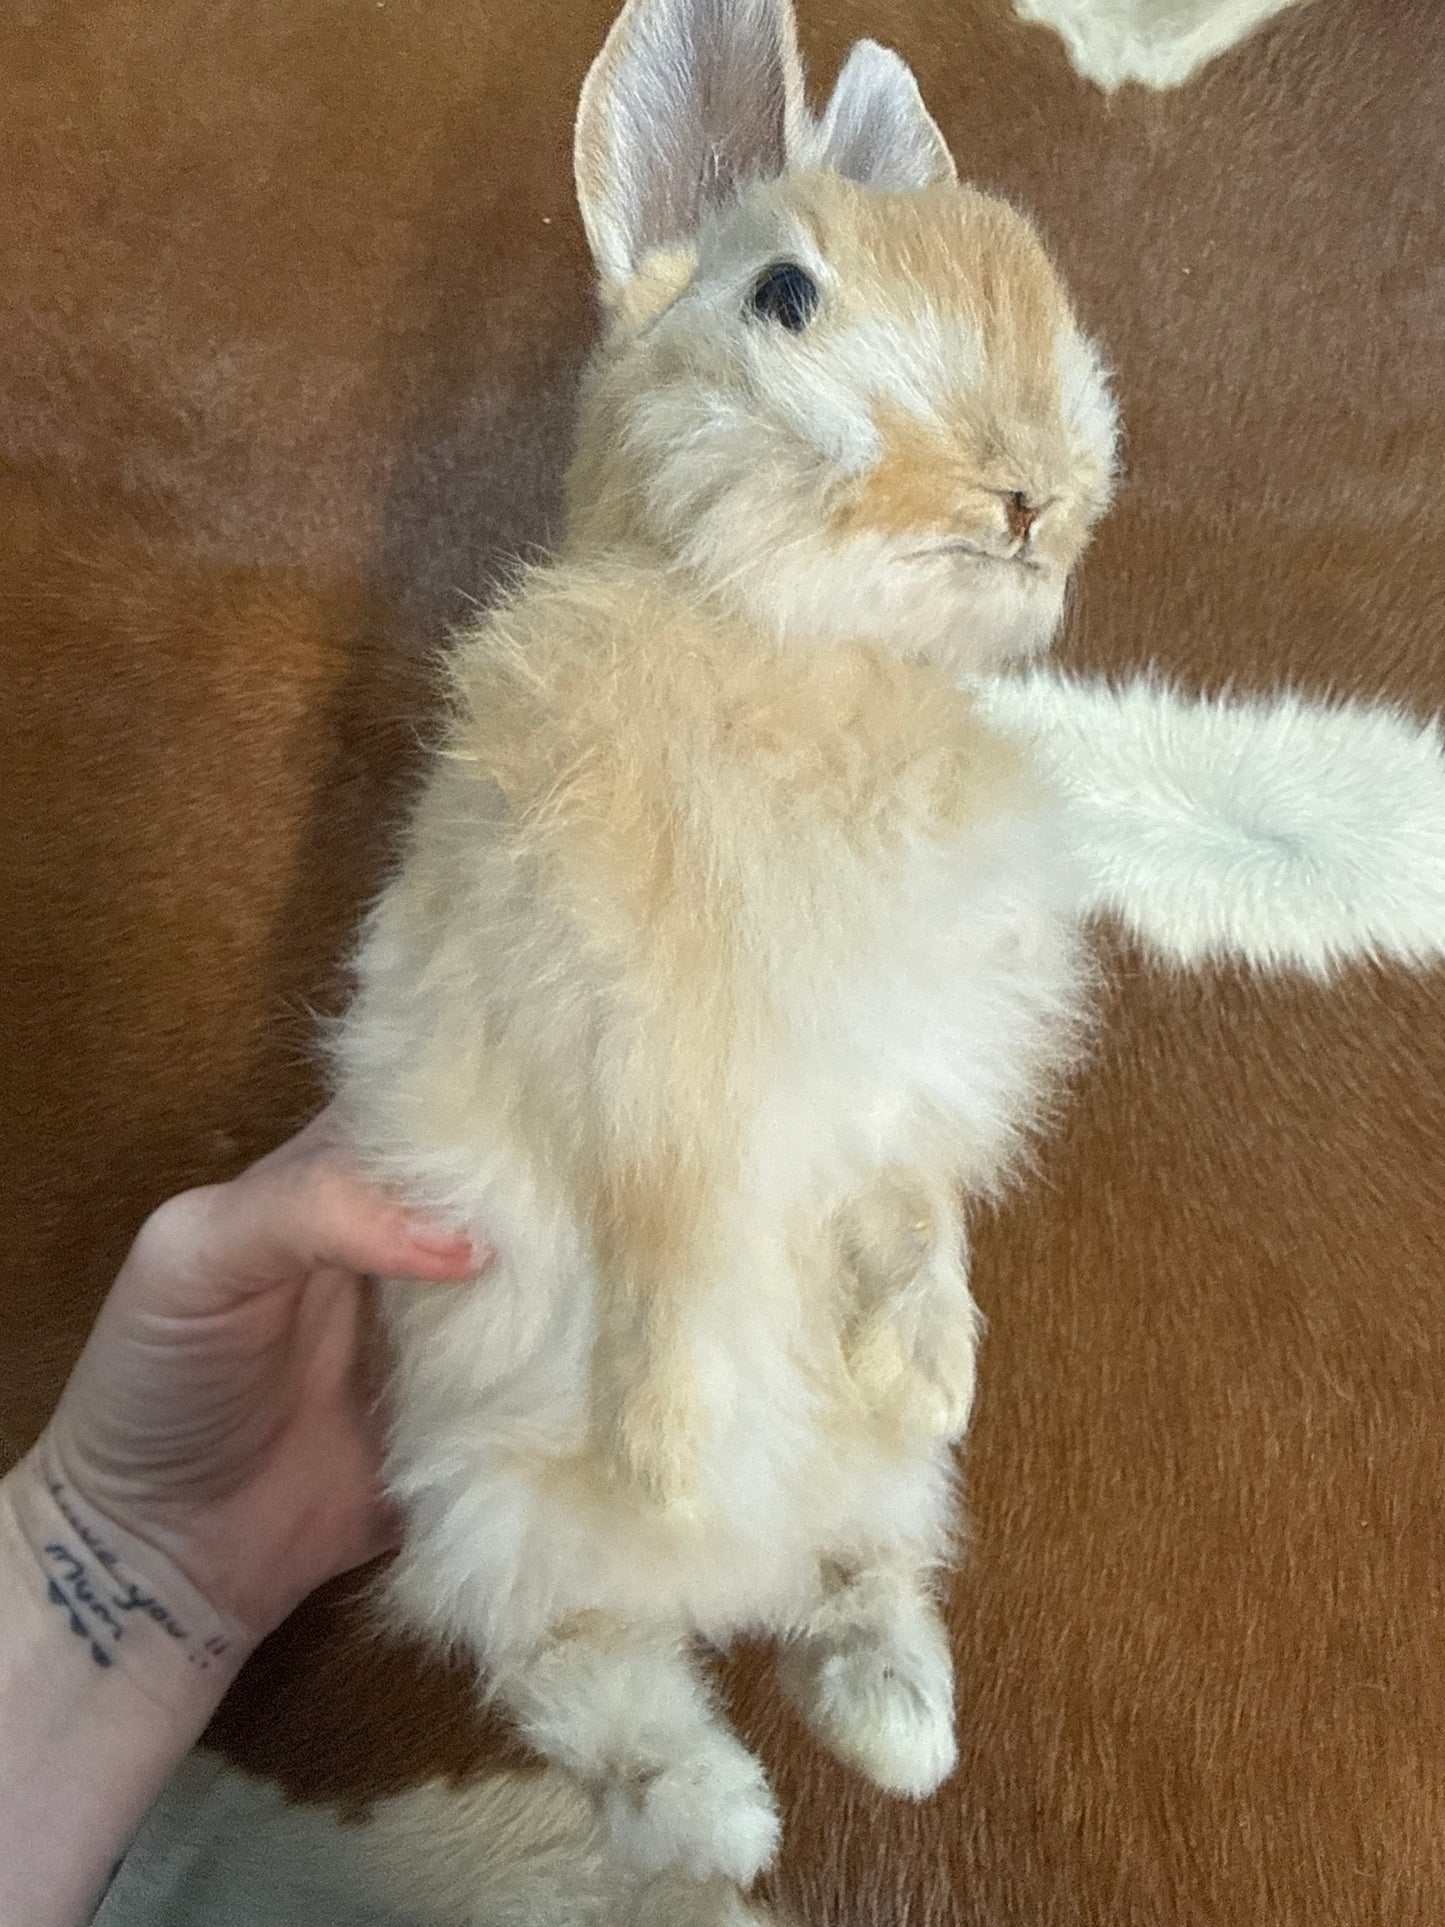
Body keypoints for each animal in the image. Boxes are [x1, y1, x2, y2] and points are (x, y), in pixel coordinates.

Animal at [334, 0, 1118, 1892]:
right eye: (784, 297)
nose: (1032, 492)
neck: (797, 646)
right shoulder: (636, 1073)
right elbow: (667, 1243)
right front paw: (671, 1451)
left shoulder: (899, 1103)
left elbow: (912, 1217)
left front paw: (944, 1369)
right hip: (486, 1512)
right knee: (585, 1668)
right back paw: (720, 1799)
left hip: (865, 1509)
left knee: (850, 1577)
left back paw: (894, 1728)